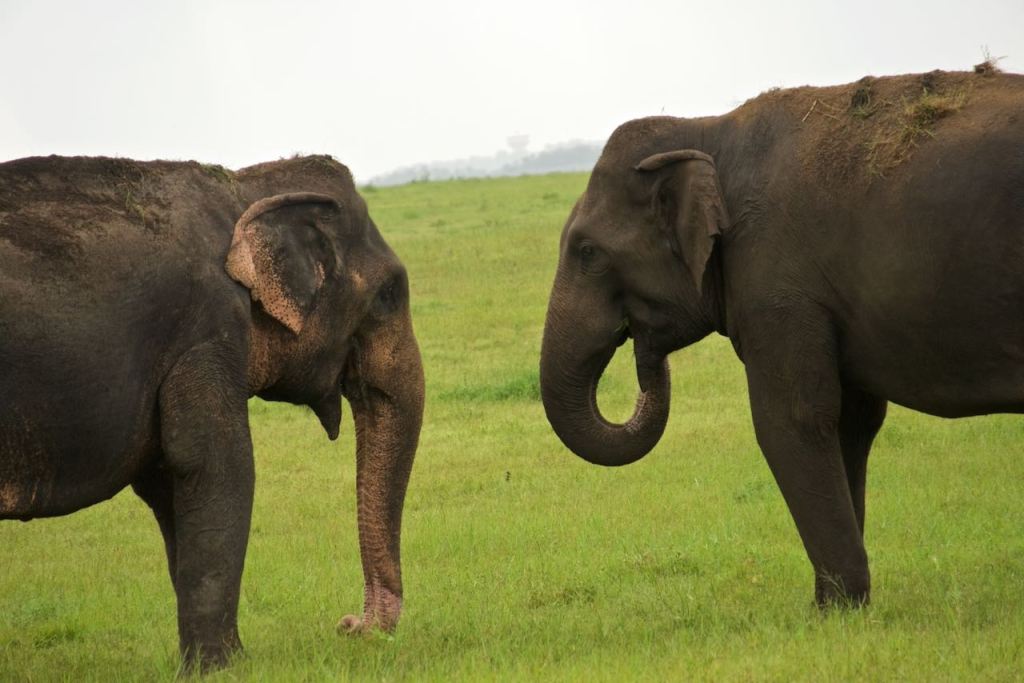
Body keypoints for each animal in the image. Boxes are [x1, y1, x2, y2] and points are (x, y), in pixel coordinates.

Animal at [0, 154, 424, 669]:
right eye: (388, 294)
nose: (349, 626)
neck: (241, 192)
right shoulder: (207, 332)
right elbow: (219, 465)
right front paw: (227, 666)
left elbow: (168, 481)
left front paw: (205, 663)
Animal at [540, 69, 1023, 607]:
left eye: (588, 252)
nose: (643, 347)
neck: (709, 129)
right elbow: (850, 422)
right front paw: (847, 606)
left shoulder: (778, 283)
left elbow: (790, 421)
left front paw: (831, 611)